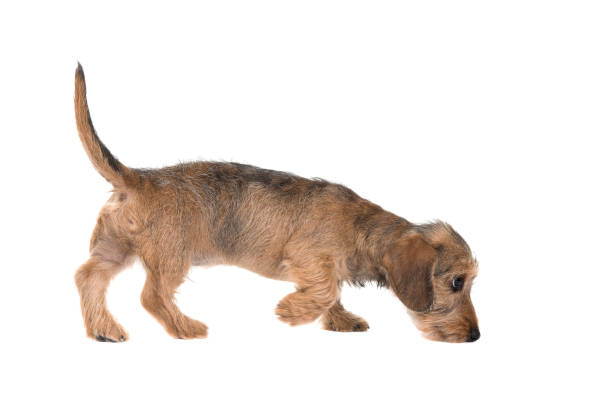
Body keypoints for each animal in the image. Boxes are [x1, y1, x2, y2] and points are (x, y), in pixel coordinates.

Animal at [74, 64, 480, 344]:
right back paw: (184, 326)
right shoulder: (309, 257)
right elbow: (325, 290)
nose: (476, 336)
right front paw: (292, 311)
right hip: (172, 256)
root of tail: (138, 178)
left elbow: (332, 292)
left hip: (115, 247)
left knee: (88, 277)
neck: (360, 228)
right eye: (457, 282)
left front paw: (339, 320)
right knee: (152, 296)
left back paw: (103, 328)